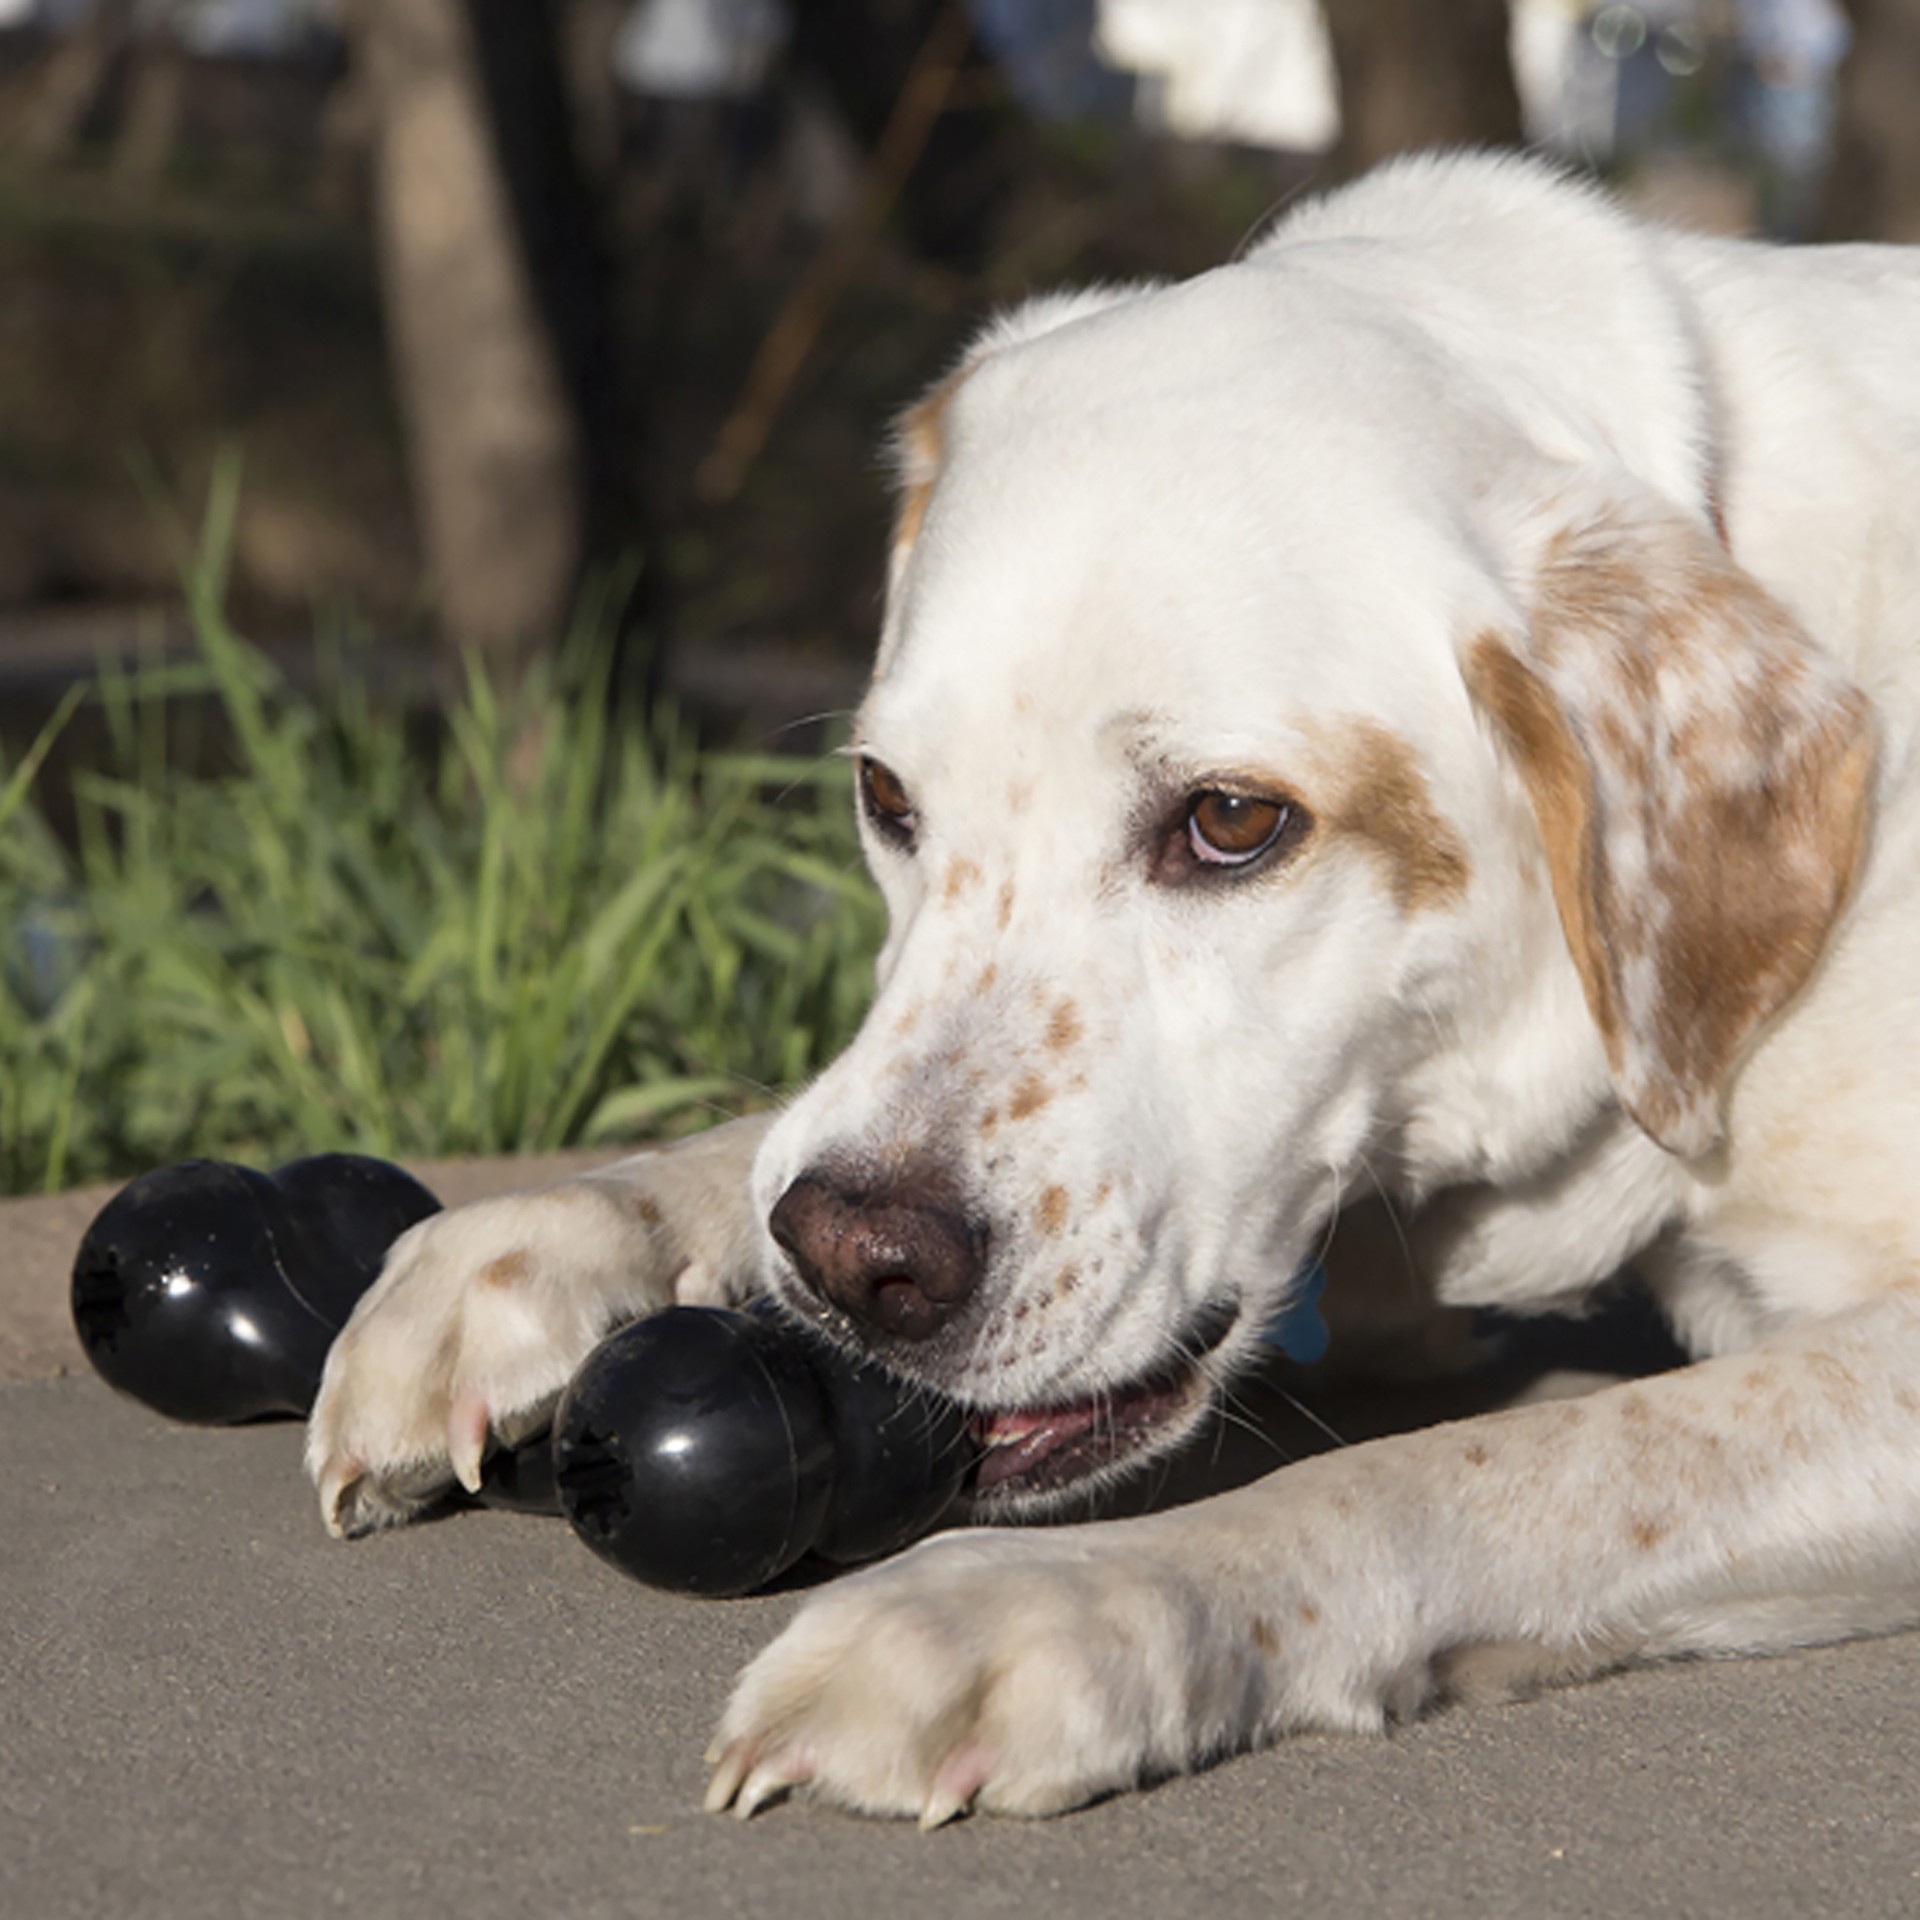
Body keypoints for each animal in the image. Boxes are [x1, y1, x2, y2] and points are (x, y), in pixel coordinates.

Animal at [307, 153, 1920, 1827]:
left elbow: (1511, 1460)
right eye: (886, 795)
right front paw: (543, 1237)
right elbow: (754, 1145)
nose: (856, 1263)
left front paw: (1057, 1603)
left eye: (1234, 820)